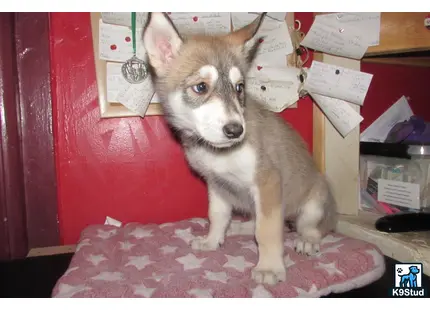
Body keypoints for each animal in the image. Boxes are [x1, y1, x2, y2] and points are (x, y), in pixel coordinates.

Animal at [143, 12, 338, 284]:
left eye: (239, 88)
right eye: (201, 87)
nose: (236, 131)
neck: (218, 153)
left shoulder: (267, 182)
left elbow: (267, 230)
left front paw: (269, 267)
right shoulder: (216, 185)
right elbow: (217, 215)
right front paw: (213, 240)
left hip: (315, 200)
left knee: (311, 227)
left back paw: (308, 240)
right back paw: (237, 227)